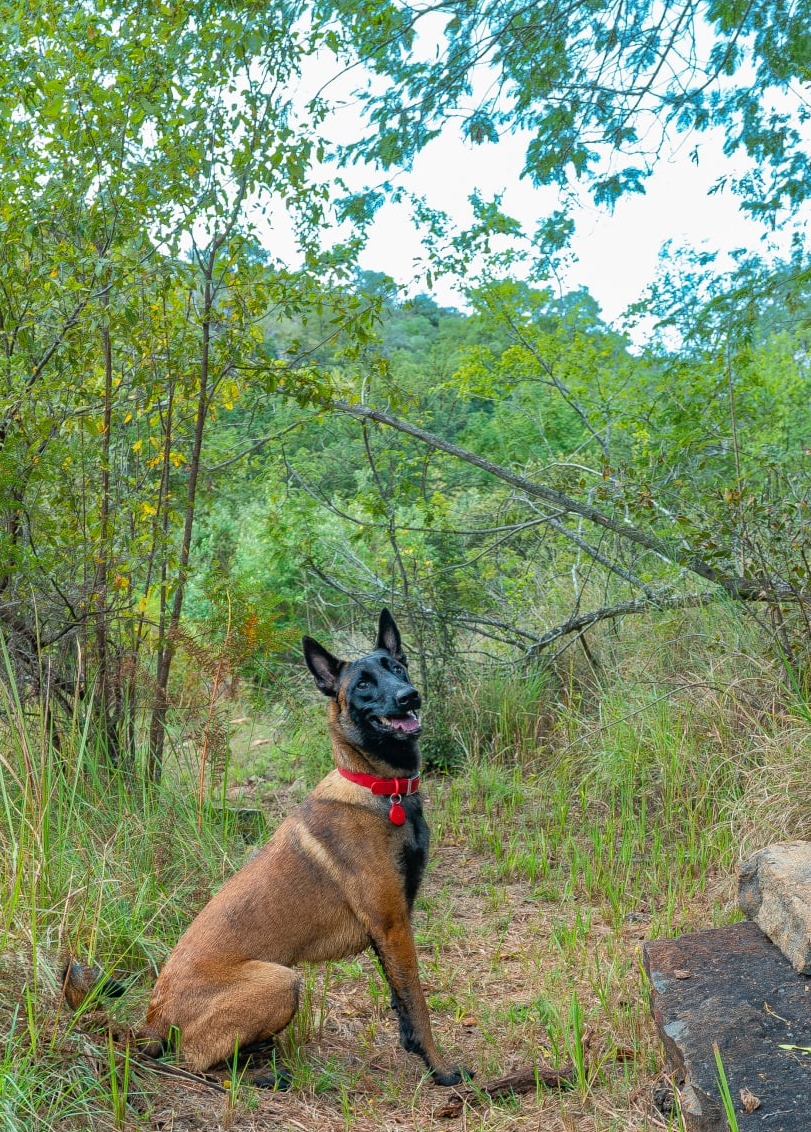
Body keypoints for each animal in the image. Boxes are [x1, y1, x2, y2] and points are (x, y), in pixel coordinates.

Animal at [68, 611, 468, 1086]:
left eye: (397, 669)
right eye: (364, 685)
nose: (409, 697)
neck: (378, 788)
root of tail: (152, 1016)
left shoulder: (390, 926)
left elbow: (400, 998)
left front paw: (414, 1049)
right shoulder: (392, 924)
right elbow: (418, 1002)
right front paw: (442, 1068)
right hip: (281, 981)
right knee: (191, 1059)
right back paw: (256, 1076)